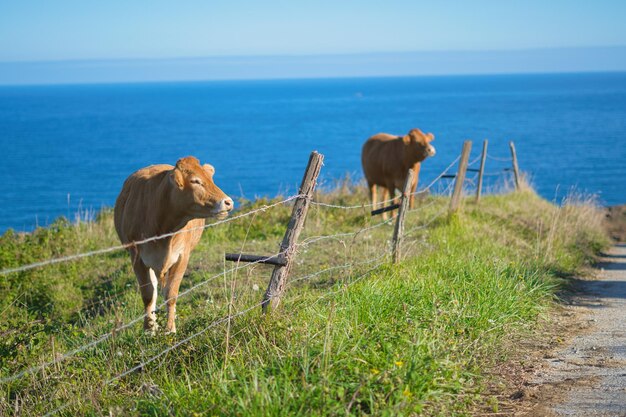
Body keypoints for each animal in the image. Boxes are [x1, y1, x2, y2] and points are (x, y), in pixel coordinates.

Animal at [113, 154, 233, 334]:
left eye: (210, 178)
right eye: (195, 181)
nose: (228, 202)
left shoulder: (182, 255)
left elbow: (171, 293)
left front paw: (170, 328)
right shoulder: (137, 257)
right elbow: (148, 295)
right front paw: (149, 329)